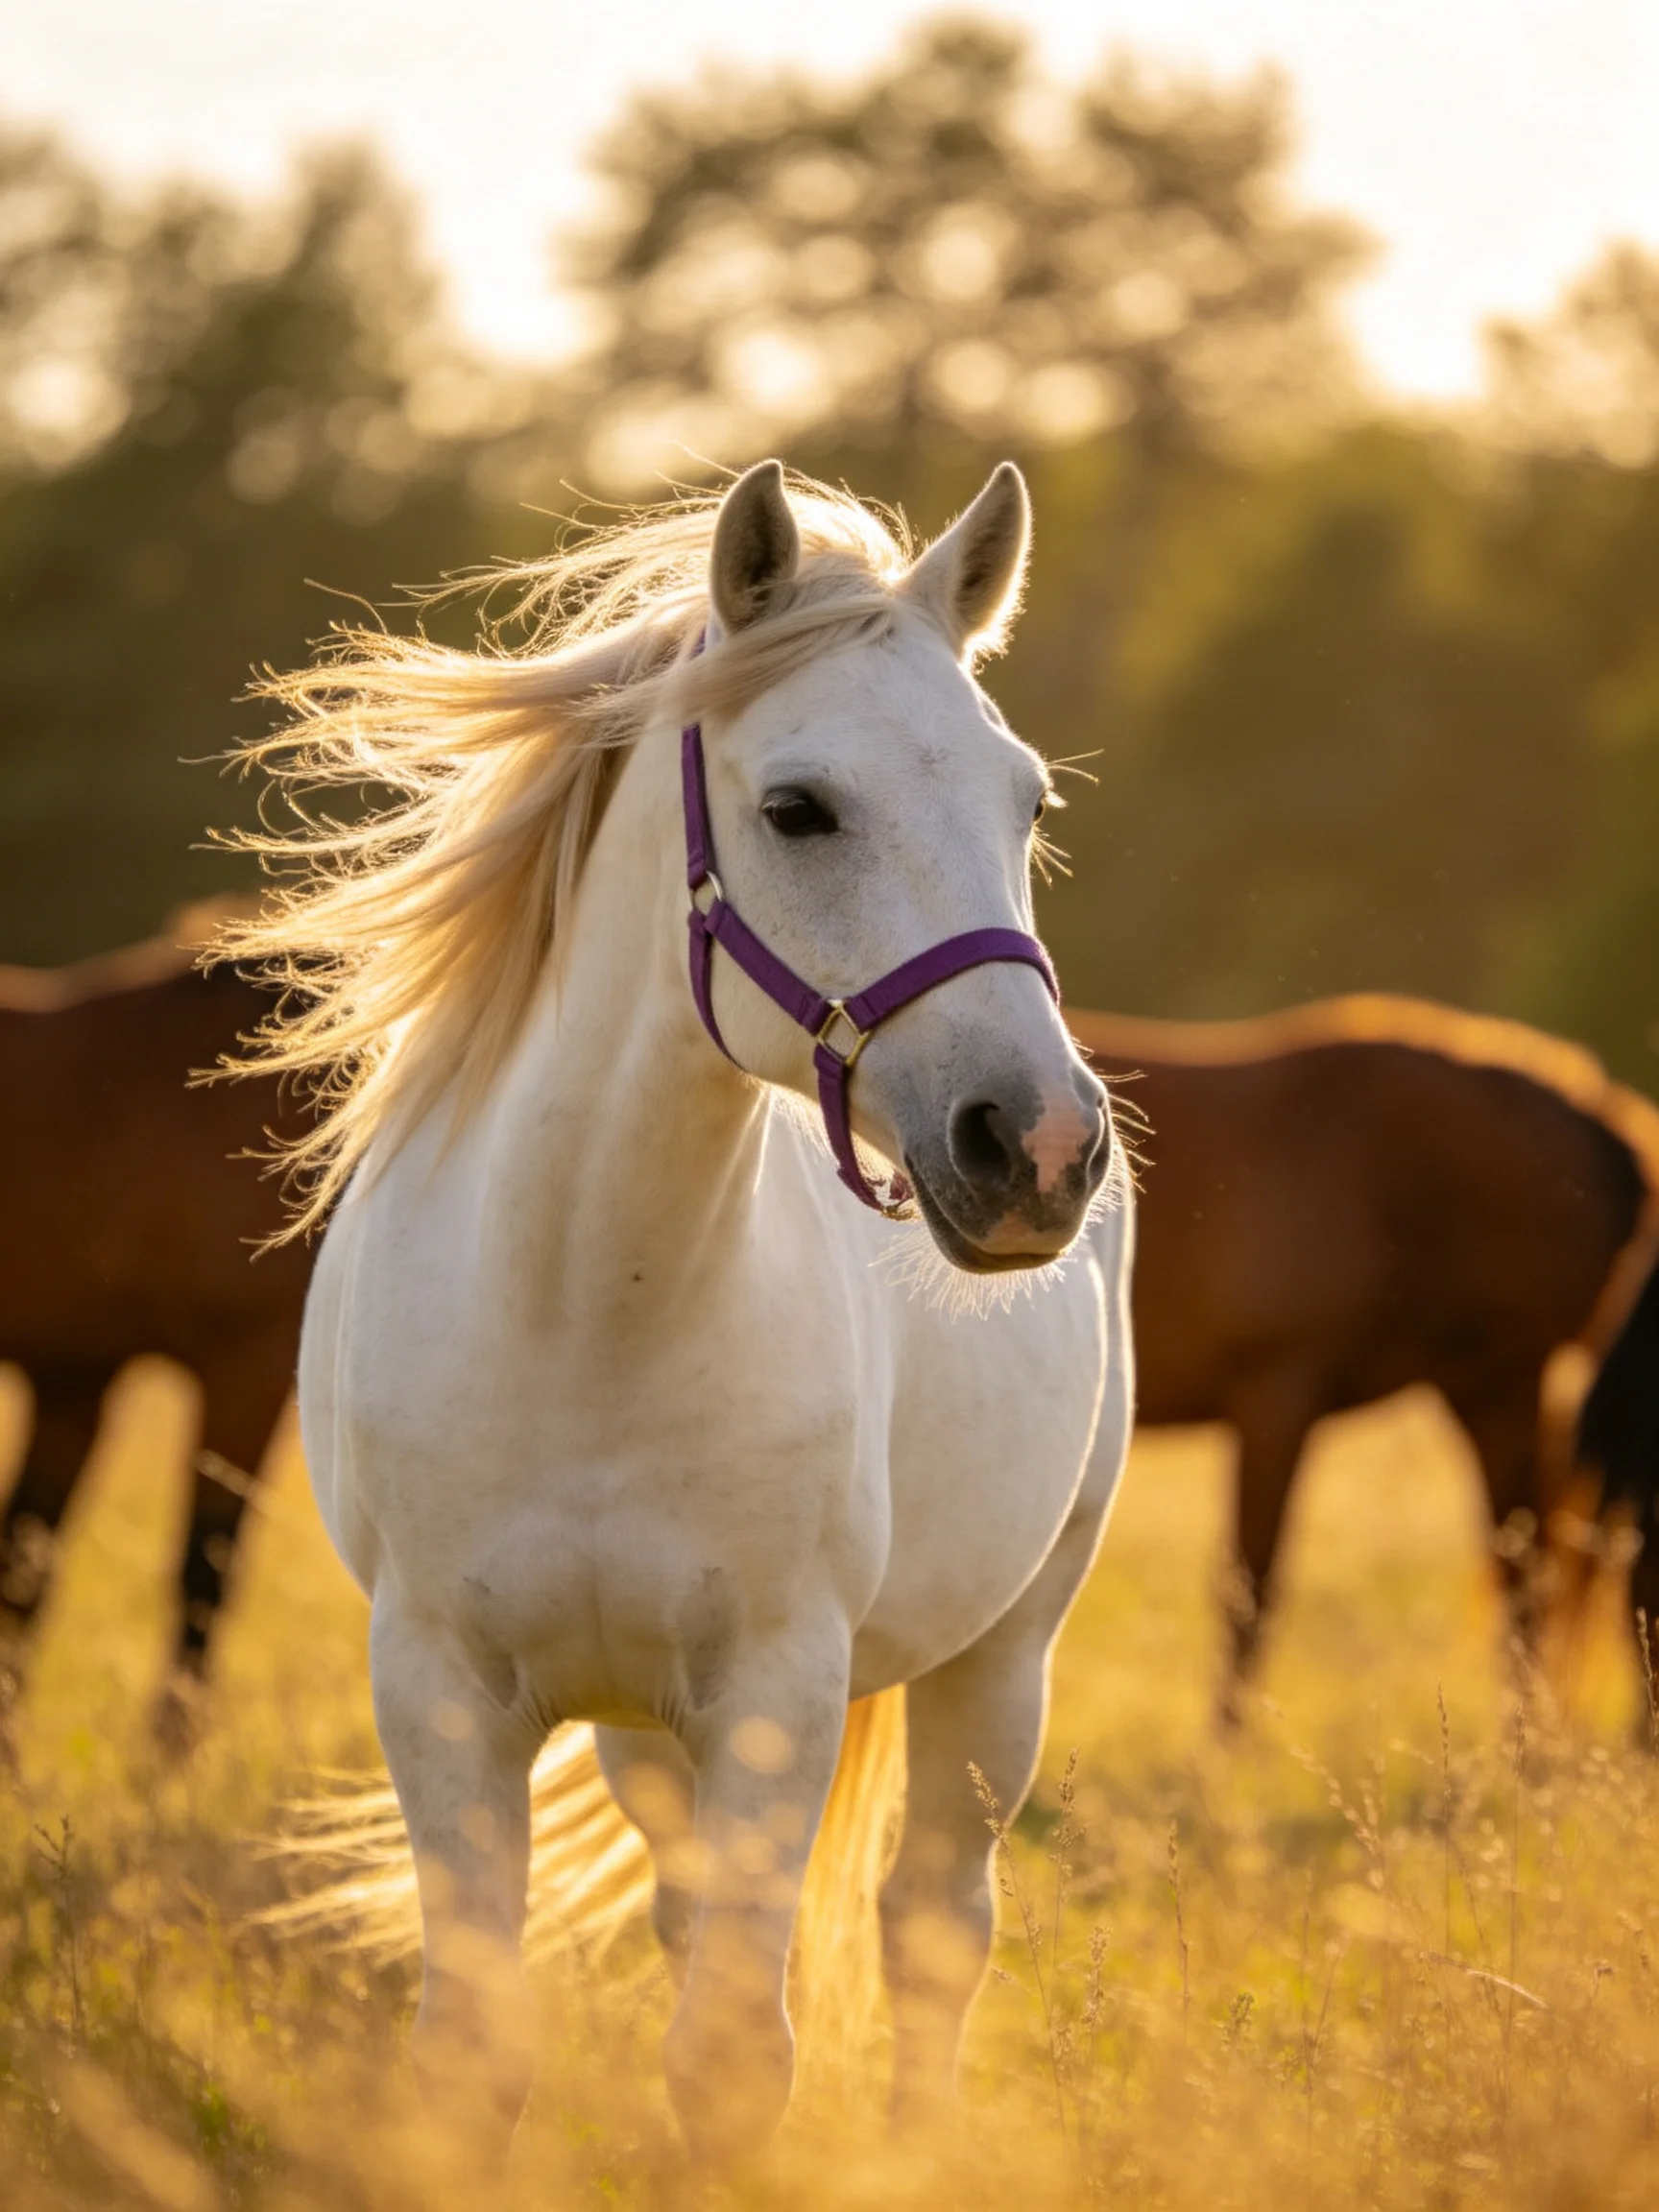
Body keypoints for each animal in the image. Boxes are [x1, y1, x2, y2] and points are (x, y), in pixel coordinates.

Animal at [217, 460, 1136, 2160]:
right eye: (798, 808)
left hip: (1003, 1657)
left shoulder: (778, 1691)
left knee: (932, 1931)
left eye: (1026, 801)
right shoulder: (444, 1692)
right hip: (643, 1728)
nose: (1037, 1147)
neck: (587, 1310)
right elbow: (479, 2053)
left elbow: (730, 2061)